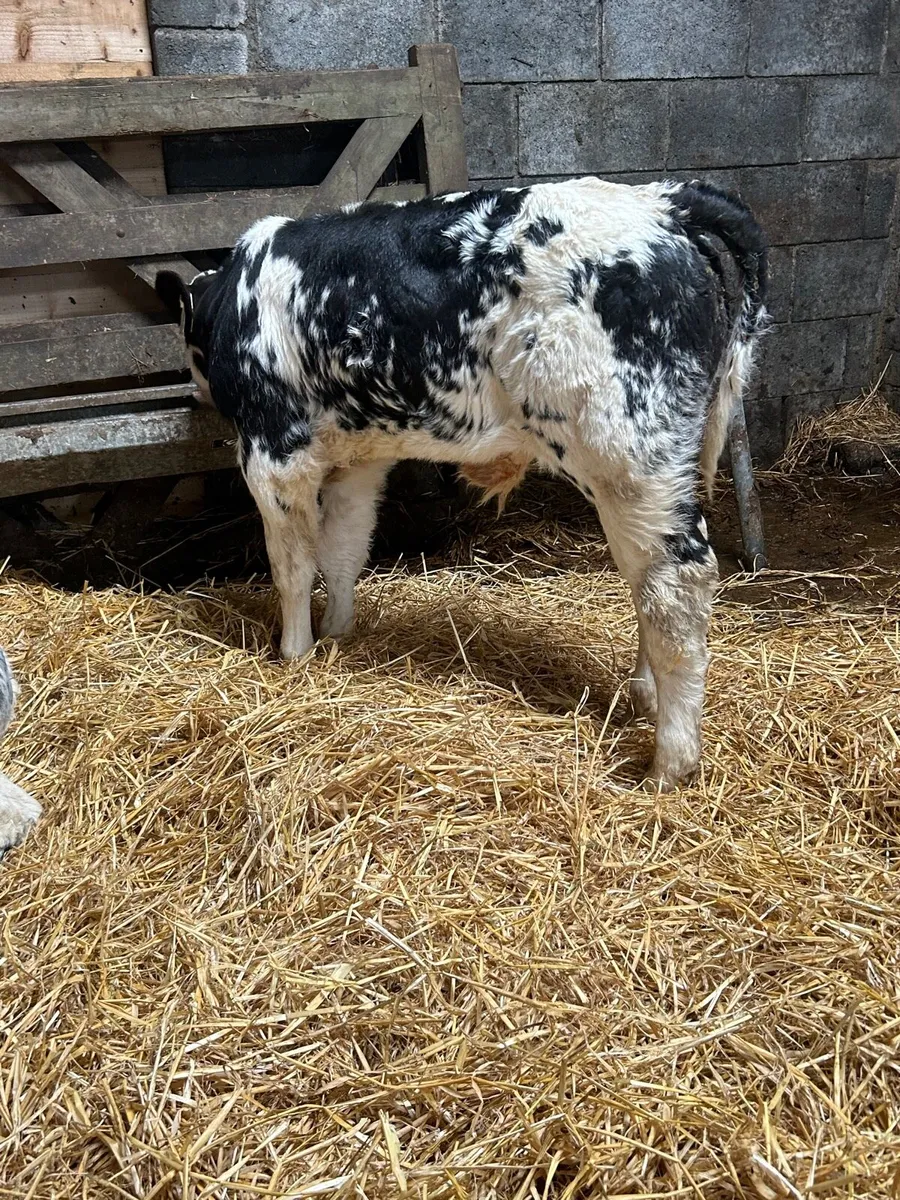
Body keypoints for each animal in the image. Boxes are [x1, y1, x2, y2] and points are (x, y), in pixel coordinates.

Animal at [156, 176, 767, 788]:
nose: (192, 392)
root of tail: (665, 202)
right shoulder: (358, 460)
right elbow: (344, 549)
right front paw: (337, 632)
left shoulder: (274, 451)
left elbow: (292, 566)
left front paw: (294, 654)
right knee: (649, 583)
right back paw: (645, 696)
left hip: (628, 456)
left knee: (676, 586)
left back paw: (669, 762)